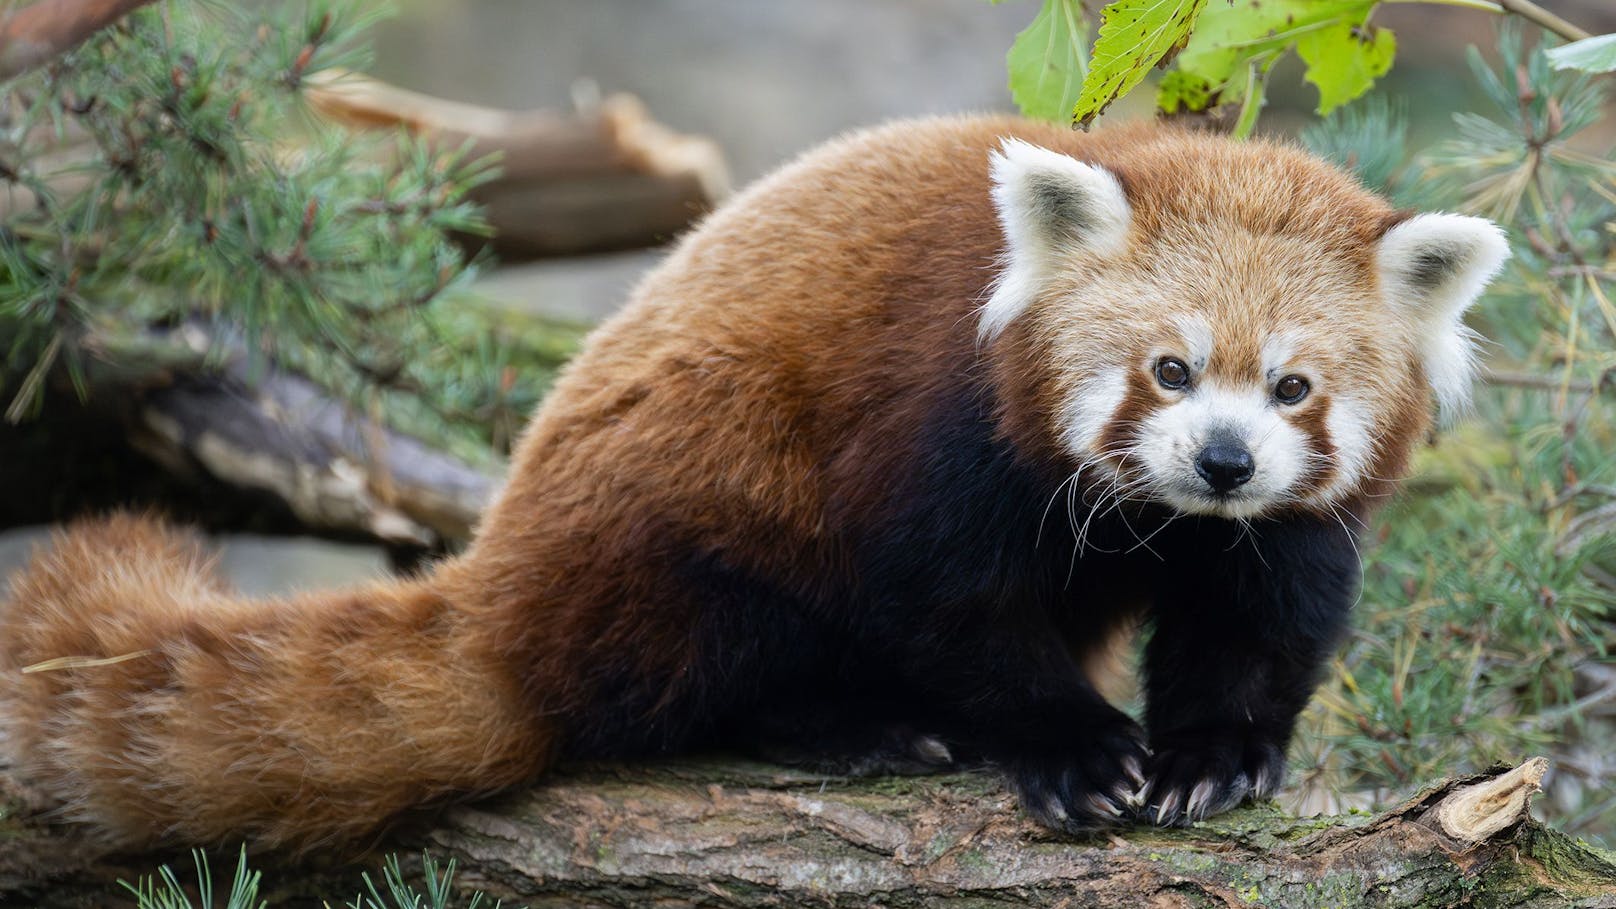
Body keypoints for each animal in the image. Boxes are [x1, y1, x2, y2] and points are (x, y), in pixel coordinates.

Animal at [3, 116, 1512, 847]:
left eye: (1292, 389)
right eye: (1168, 369)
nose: (1221, 459)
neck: (1158, 514)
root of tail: (506, 584)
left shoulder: (1276, 529)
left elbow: (1261, 618)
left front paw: (1216, 759)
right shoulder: (934, 423)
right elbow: (951, 602)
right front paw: (1073, 749)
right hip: (689, 483)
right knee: (698, 646)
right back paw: (852, 724)